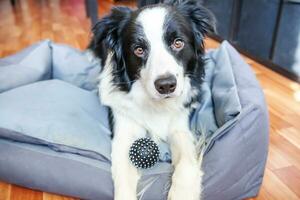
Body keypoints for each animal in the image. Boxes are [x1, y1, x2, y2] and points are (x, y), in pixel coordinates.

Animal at [89, 0, 216, 199]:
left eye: (178, 43)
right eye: (139, 50)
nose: (166, 85)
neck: (155, 104)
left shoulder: (180, 126)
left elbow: (186, 161)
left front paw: (182, 192)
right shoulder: (123, 132)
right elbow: (123, 178)